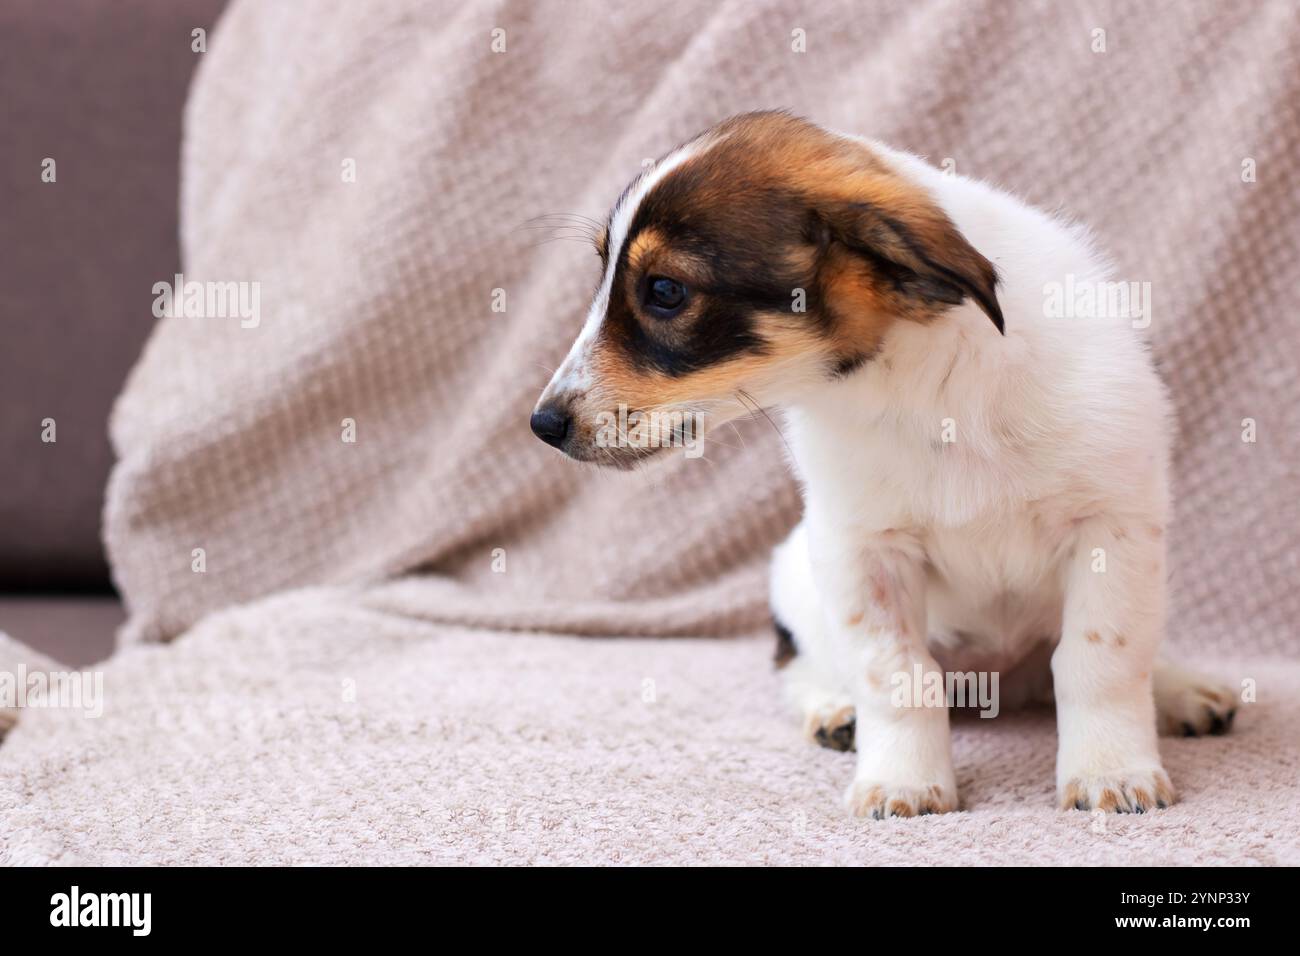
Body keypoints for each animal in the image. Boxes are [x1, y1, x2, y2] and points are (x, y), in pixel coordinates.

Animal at [530, 110, 1237, 816]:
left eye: (666, 291)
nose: (543, 426)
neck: (929, 385)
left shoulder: (1113, 529)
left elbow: (1101, 662)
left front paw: (1110, 770)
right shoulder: (861, 550)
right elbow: (896, 675)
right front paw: (904, 779)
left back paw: (1182, 690)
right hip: (795, 573)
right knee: (797, 664)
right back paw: (832, 710)